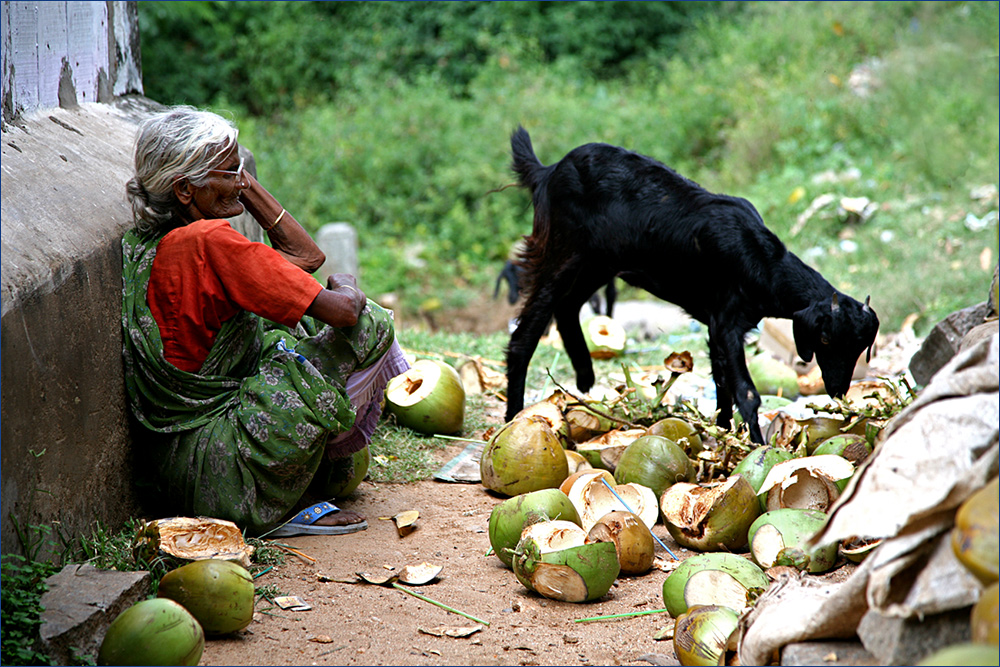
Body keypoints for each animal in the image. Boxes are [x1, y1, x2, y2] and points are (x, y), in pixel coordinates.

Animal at [504, 128, 880, 446]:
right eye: (825, 338)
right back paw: (513, 417)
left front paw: (724, 433)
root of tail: (548, 171)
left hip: (599, 262)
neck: (761, 259)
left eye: (861, 345)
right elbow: (745, 391)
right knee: (527, 331)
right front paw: (757, 448)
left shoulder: (717, 323)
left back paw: (584, 377)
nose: (837, 389)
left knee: (567, 307)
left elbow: (722, 382)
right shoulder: (727, 320)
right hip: (562, 249)